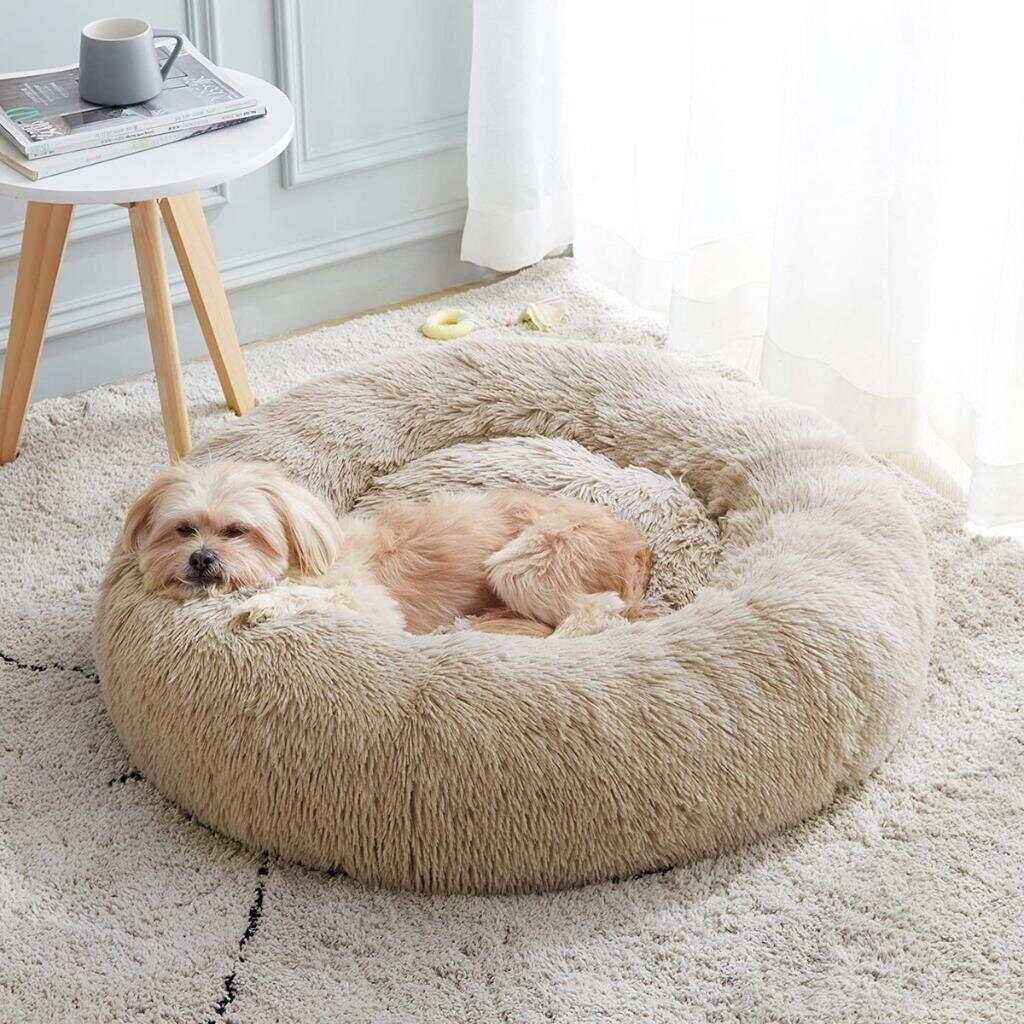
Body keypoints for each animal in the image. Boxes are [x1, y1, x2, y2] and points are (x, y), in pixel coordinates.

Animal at [123, 460, 651, 634]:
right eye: (183, 530)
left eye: (237, 530)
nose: (201, 559)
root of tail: (637, 545)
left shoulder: (371, 604)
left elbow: (320, 596)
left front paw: (264, 606)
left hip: (525, 563)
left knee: (596, 612)